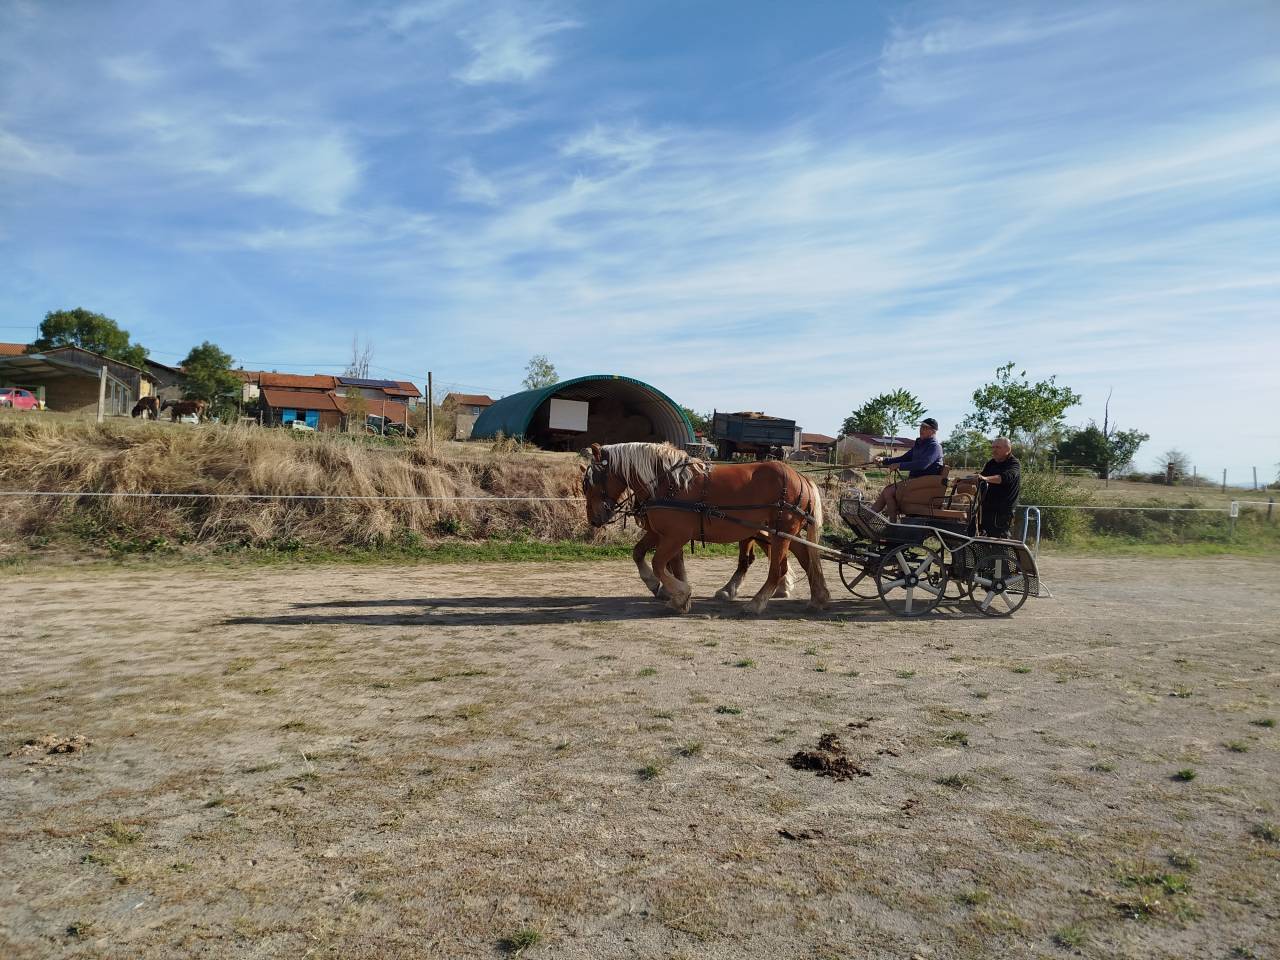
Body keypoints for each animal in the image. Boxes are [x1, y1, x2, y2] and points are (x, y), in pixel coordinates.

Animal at [582, 442, 830, 615]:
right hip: (785, 534)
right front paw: (668, 592)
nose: (594, 519)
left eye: (589, 483)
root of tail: (801, 477)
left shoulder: (675, 536)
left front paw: (680, 594)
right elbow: (645, 556)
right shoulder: (660, 533)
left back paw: (757, 603)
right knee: (807, 561)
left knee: (778, 569)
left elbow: (659, 564)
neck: (668, 483)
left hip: (781, 533)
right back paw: (818, 597)